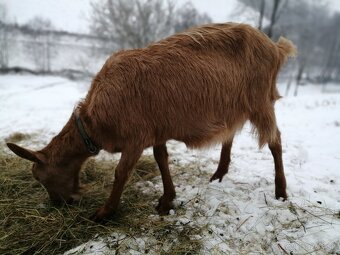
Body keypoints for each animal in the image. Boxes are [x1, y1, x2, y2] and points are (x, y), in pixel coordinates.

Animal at [6, 22, 296, 221]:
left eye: (41, 178)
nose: (60, 204)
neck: (94, 121)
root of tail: (275, 47)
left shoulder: (135, 138)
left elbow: (121, 173)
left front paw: (104, 212)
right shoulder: (155, 130)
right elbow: (161, 159)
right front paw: (167, 200)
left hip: (261, 101)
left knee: (275, 141)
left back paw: (281, 191)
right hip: (234, 106)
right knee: (230, 134)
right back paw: (218, 174)